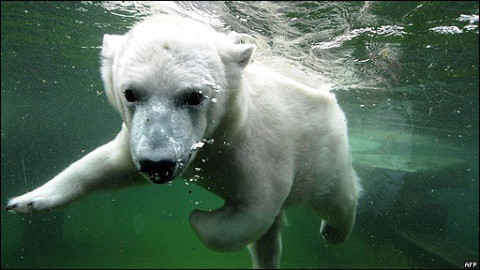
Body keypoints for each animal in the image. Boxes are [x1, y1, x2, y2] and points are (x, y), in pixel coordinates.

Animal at [6, 15, 360, 270]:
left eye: (193, 96)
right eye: (130, 93)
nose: (157, 166)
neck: (218, 140)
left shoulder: (258, 151)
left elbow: (254, 210)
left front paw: (199, 217)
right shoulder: (140, 141)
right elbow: (107, 165)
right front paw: (26, 200)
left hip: (324, 153)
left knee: (337, 198)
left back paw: (334, 231)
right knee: (270, 239)